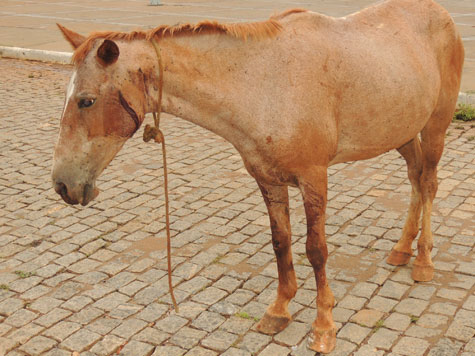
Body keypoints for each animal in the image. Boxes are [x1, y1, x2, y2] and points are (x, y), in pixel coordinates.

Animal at [52, 0, 464, 350]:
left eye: (86, 100)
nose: (62, 185)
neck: (266, 84)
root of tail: (441, 14)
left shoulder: (314, 178)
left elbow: (316, 250)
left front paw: (324, 326)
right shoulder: (267, 179)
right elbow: (280, 242)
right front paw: (279, 310)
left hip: (436, 125)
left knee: (428, 183)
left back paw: (423, 262)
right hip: (403, 132)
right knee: (415, 178)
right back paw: (402, 249)